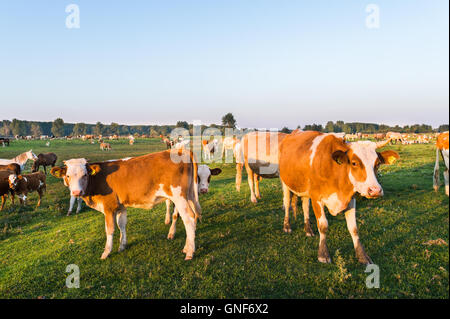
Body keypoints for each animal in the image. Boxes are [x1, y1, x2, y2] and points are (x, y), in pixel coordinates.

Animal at [49, 151, 202, 262]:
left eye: (85, 175)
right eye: (68, 176)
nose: (76, 192)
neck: (98, 179)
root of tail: (180, 150)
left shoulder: (108, 208)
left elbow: (110, 229)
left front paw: (106, 252)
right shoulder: (121, 207)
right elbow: (121, 224)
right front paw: (122, 246)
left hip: (179, 197)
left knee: (189, 219)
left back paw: (189, 252)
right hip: (188, 195)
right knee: (193, 216)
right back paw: (187, 247)